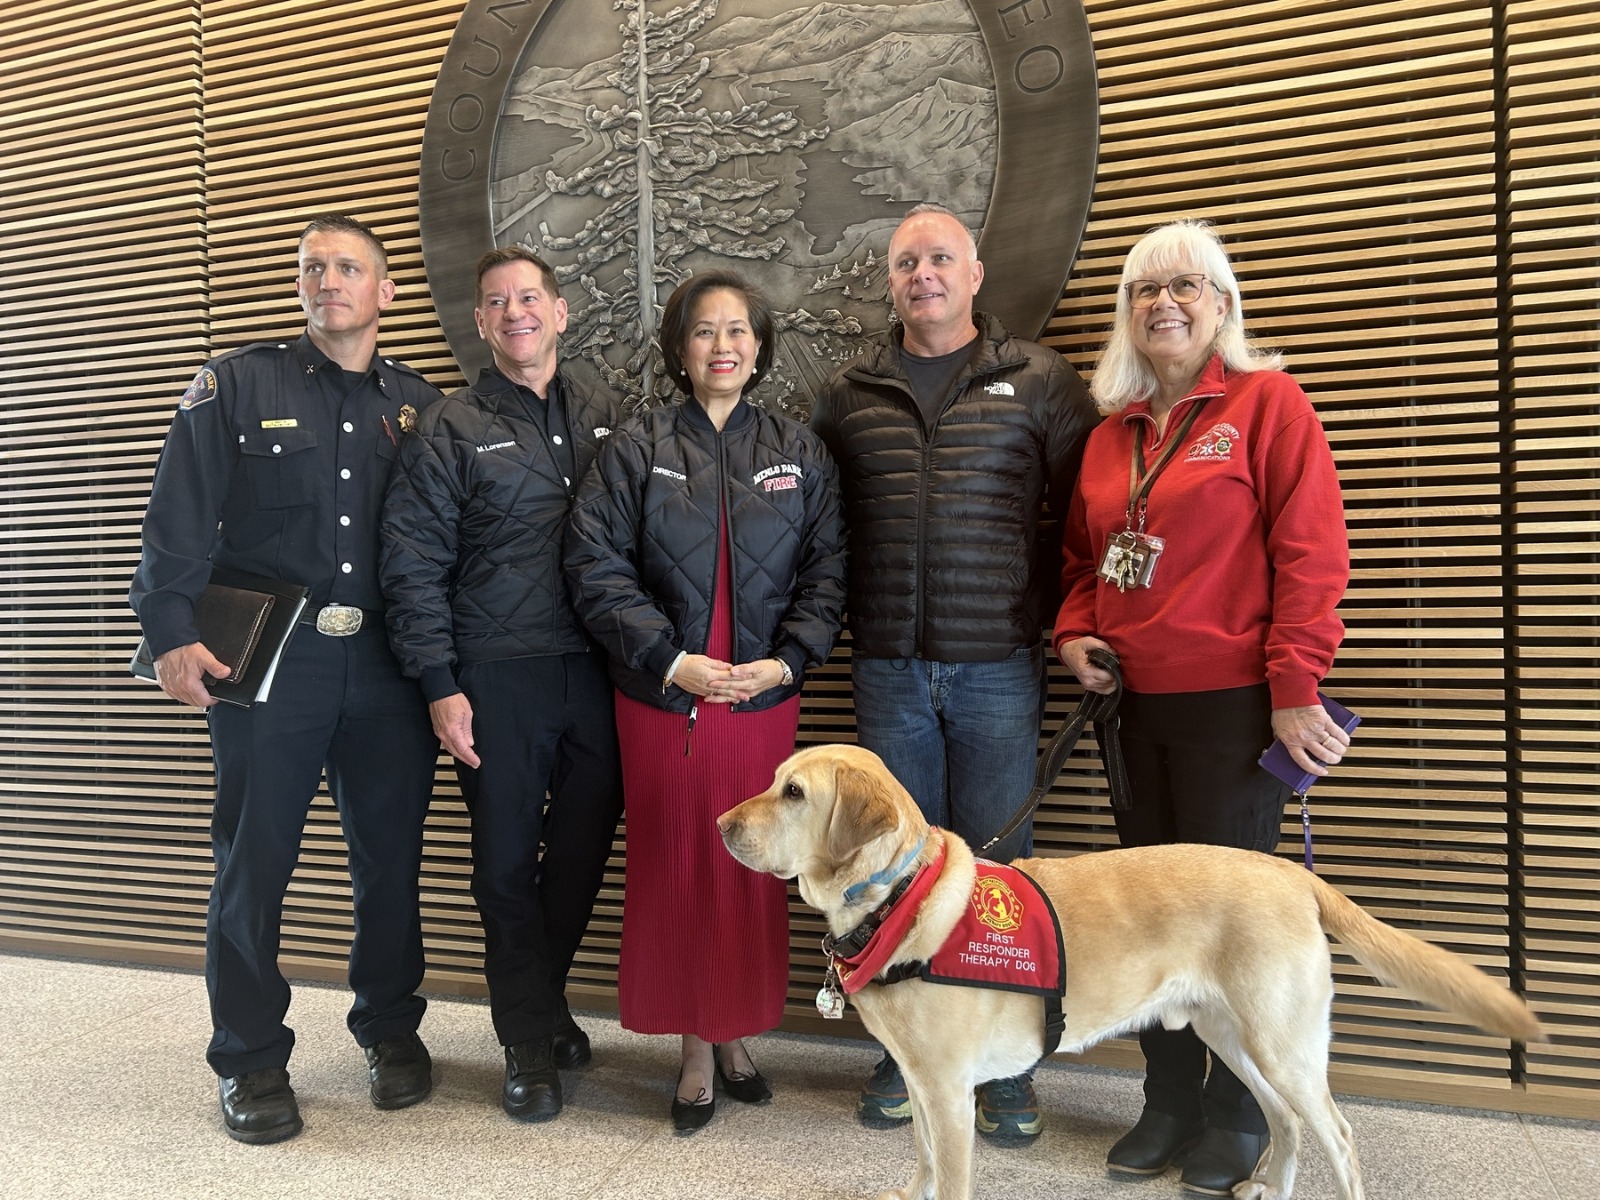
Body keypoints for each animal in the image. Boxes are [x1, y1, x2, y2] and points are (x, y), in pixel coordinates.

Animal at [720, 748, 1542, 1196]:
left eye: (794, 793)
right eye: (774, 780)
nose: (722, 824)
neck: (898, 895)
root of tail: (1291, 872)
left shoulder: (950, 1091)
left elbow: (950, 1174)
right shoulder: (924, 1085)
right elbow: (923, 1159)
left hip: (1282, 1041)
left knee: (1335, 1133)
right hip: (1236, 1040)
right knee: (1284, 1122)